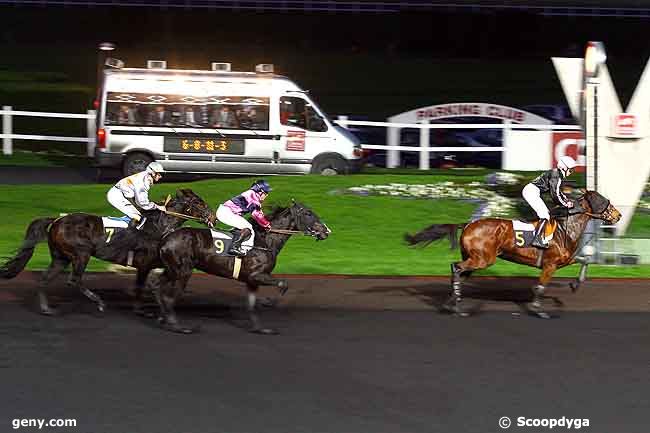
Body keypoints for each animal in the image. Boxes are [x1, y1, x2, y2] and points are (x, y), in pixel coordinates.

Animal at [0, 189, 213, 314]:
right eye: (199, 202)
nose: (212, 217)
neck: (159, 227)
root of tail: (57, 220)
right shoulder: (144, 263)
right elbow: (142, 285)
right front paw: (143, 308)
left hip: (61, 257)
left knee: (45, 278)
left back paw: (46, 308)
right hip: (81, 254)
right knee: (74, 280)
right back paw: (99, 302)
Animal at [147, 202, 330, 334]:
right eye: (308, 213)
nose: (326, 231)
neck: (266, 241)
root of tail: (166, 237)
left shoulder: (252, 281)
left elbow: (251, 305)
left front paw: (260, 328)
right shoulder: (257, 275)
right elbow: (283, 284)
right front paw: (269, 301)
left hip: (172, 269)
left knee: (157, 285)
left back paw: (162, 317)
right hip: (183, 271)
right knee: (169, 296)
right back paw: (178, 326)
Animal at [402, 189, 620, 318]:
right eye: (604, 201)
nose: (618, 216)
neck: (564, 228)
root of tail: (468, 224)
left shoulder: (564, 260)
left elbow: (585, 260)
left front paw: (575, 284)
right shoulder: (550, 264)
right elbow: (541, 287)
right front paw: (538, 310)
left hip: (474, 258)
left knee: (459, 273)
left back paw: (452, 303)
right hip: (482, 260)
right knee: (455, 268)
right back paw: (457, 306)